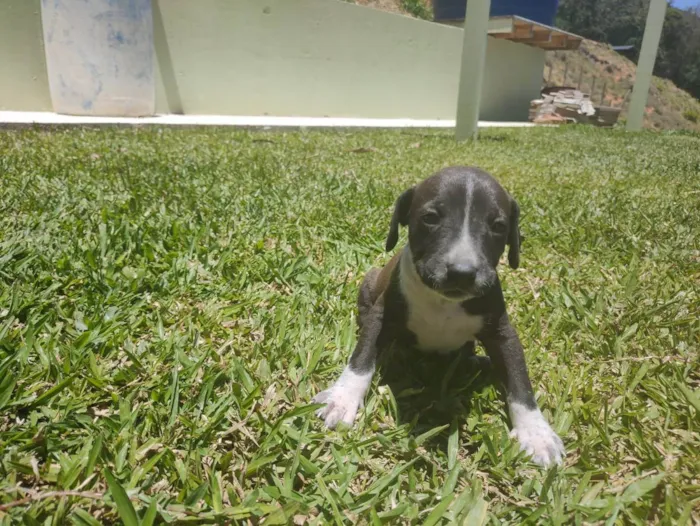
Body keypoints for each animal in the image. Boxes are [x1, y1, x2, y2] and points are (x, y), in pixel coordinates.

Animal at [314, 167, 568, 468]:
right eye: (430, 218)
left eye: (498, 226)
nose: (462, 273)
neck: (444, 302)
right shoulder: (381, 318)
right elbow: (361, 360)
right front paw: (341, 399)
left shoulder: (503, 333)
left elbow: (521, 382)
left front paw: (536, 432)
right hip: (370, 281)